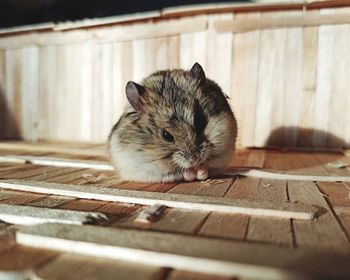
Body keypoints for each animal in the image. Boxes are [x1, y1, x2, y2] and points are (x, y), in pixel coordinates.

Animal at [108, 62, 237, 183]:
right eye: (166, 136)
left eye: (200, 122)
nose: (194, 161)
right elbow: (178, 173)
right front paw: (191, 173)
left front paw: (200, 172)